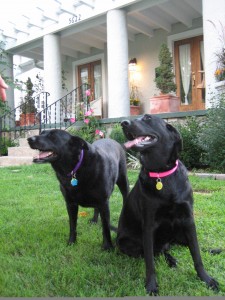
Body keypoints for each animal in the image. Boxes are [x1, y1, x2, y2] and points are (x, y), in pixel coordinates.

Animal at [117, 115, 219, 296]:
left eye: (147, 118)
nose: (123, 123)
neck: (161, 174)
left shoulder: (188, 220)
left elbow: (197, 253)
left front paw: (206, 279)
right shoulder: (149, 226)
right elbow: (150, 262)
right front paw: (151, 286)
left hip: (179, 232)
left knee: (172, 248)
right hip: (128, 243)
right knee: (154, 252)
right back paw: (170, 260)